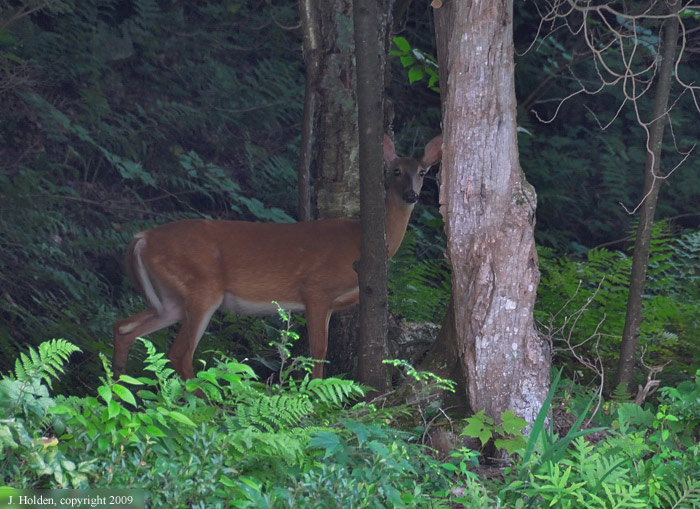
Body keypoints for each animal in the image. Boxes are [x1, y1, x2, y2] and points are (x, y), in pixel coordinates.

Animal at [113, 134, 442, 380]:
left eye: (423, 172)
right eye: (396, 171)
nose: (411, 195)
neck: (358, 242)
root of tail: (141, 238)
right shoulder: (316, 289)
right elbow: (318, 351)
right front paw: (316, 395)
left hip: (171, 297)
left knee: (124, 328)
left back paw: (119, 389)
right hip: (201, 287)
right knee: (179, 353)